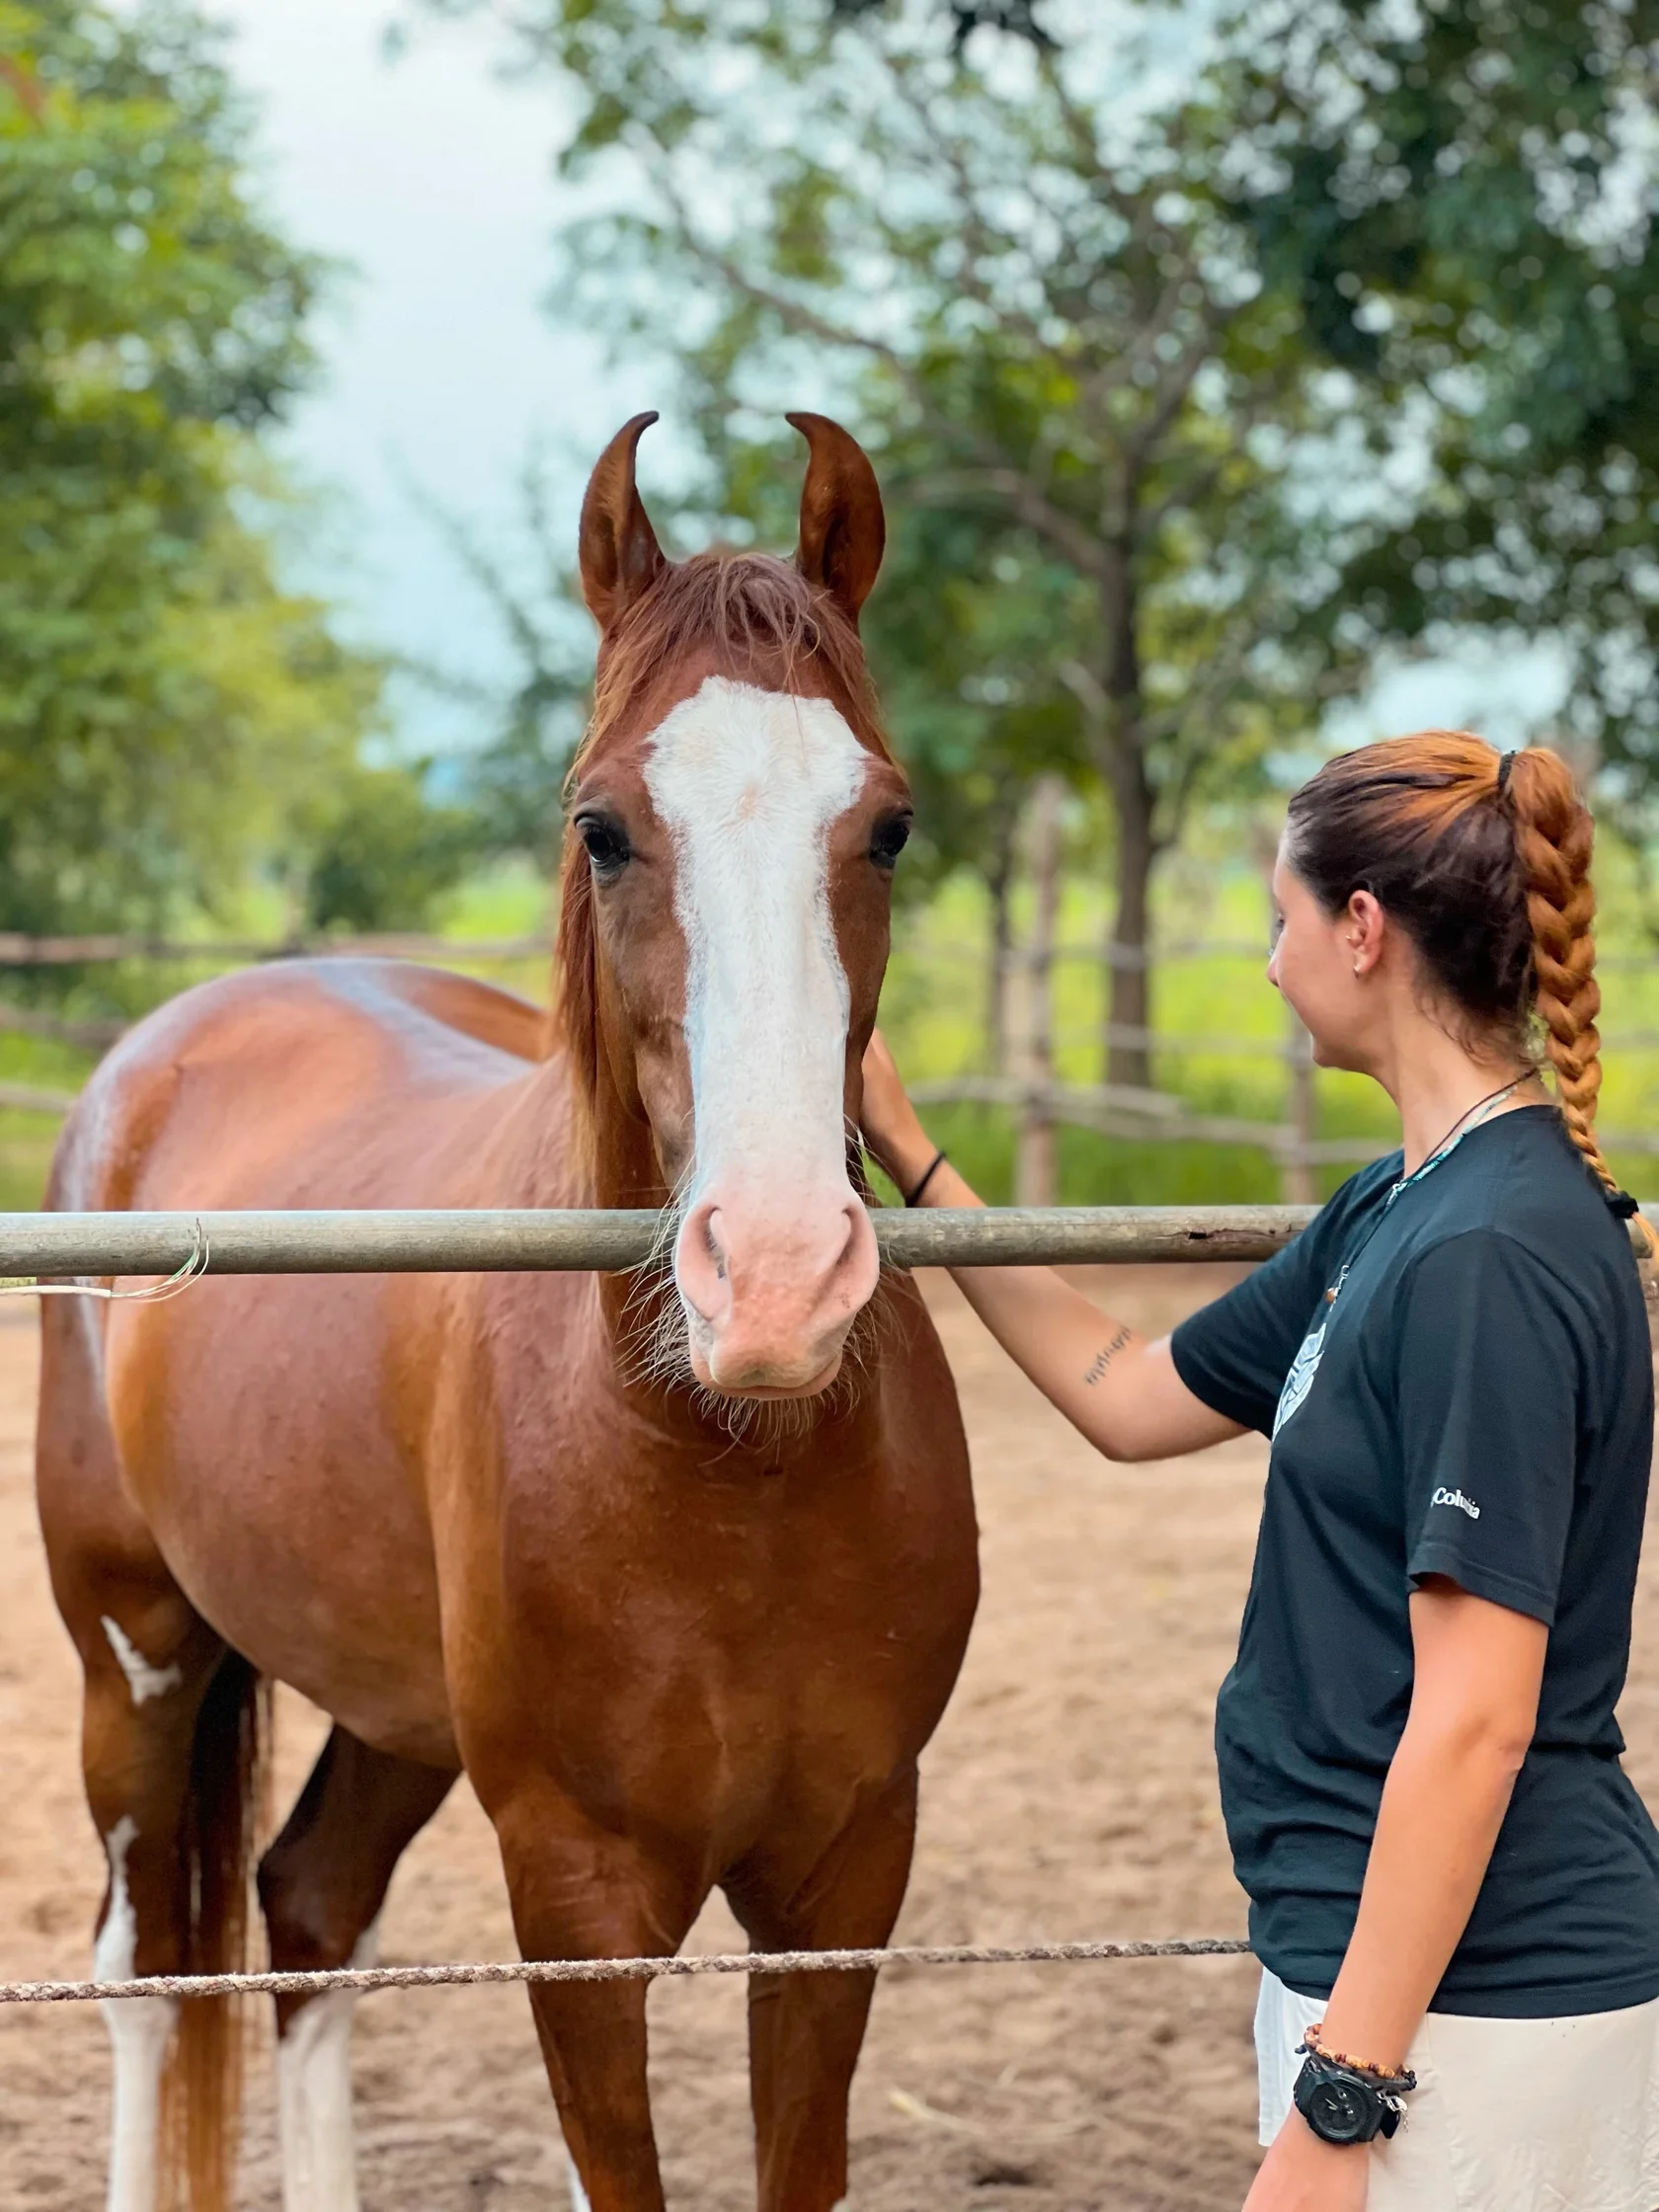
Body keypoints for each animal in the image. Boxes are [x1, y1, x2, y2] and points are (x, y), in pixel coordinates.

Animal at [34, 412, 979, 2212]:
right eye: (602, 827)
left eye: (889, 826)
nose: (772, 1278)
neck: (722, 1462)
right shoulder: (575, 1906)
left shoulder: (843, 1886)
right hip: (137, 1659)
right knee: (145, 1973)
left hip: (390, 1705)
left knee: (309, 1915)